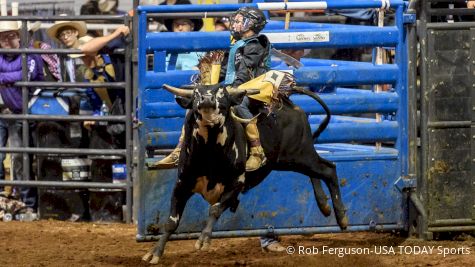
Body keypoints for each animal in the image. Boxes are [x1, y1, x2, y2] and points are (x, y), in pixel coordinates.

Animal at [143, 70, 348, 264]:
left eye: (223, 94)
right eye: (196, 94)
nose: (207, 100)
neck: (209, 153)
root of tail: (290, 105)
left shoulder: (236, 184)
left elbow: (215, 209)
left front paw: (204, 240)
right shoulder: (181, 184)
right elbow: (171, 221)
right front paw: (155, 253)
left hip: (300, 154)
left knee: (328, 169)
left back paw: (341, 217)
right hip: (289, 160)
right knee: (316, 173)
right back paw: (324, 206)